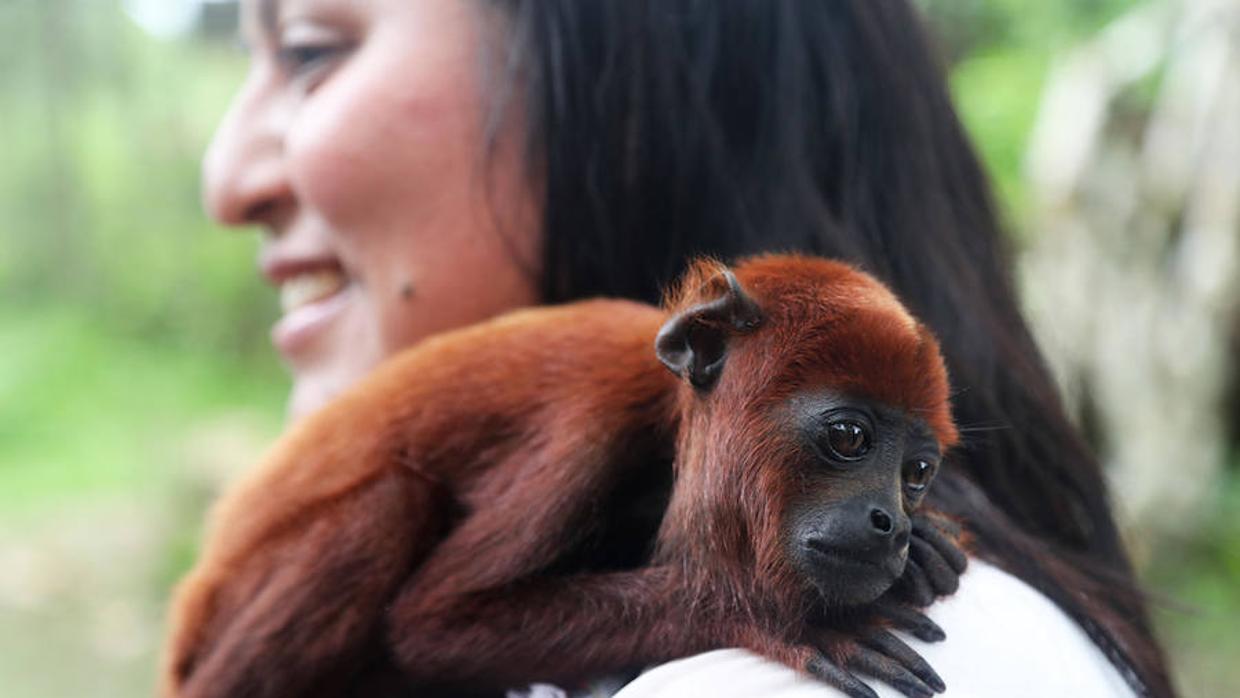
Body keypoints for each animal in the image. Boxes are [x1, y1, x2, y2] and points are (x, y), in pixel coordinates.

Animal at [164, 255, 962, 698]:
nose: (890, 522)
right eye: (849, 437)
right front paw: (782, 615)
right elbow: (436, 621)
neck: (674, 414)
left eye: (917, 474)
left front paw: (928, 544)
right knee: (391, 500)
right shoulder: (585, 432)